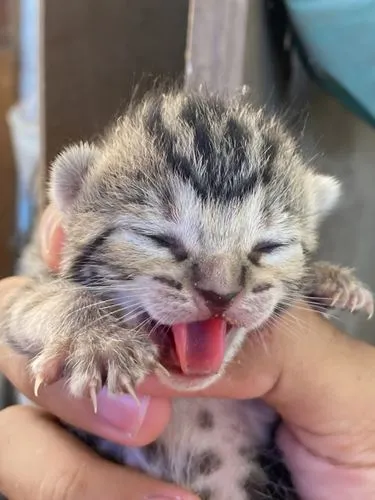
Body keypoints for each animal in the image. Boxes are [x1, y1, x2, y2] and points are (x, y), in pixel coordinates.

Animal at [4, 90, 374, 500]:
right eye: (158, 239)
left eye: (269, 247)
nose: (220, 293)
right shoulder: (30, 274)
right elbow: (34, 300)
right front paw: (97, 339)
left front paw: (326, 280)